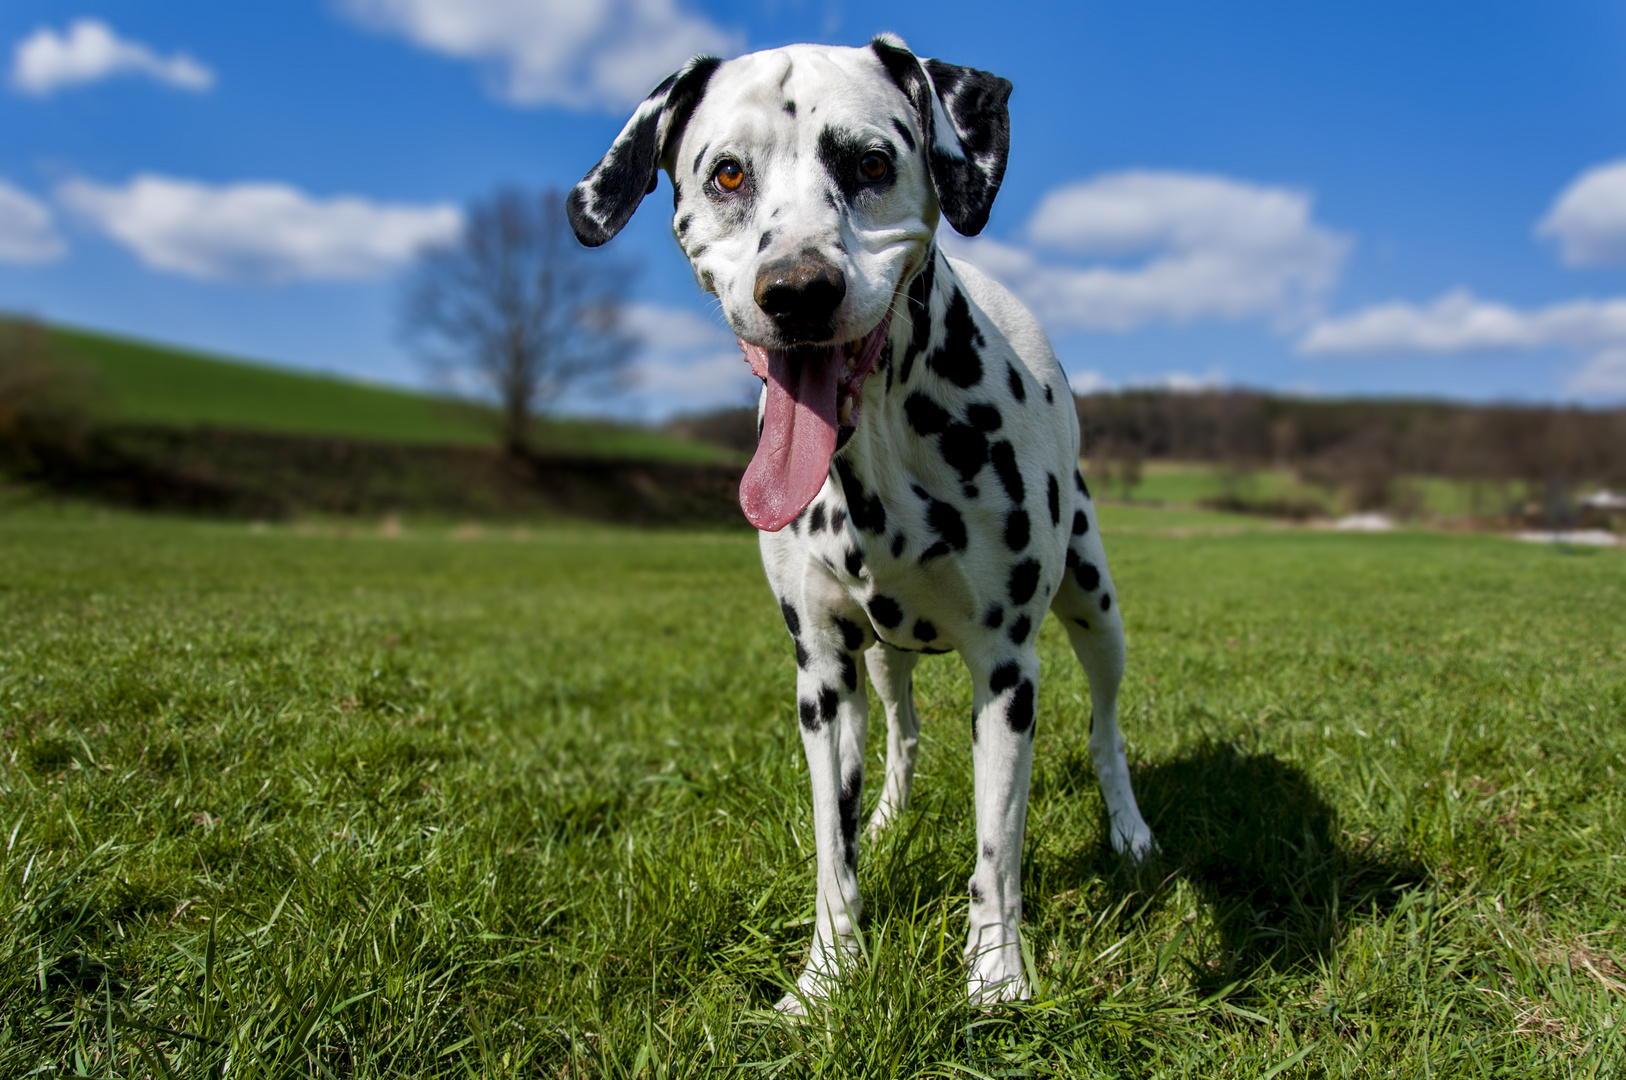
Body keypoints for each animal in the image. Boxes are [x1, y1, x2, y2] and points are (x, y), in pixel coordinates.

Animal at [572, 35, 1157, 1014]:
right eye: (728, 173)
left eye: (872, 163)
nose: (797, 290)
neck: (880, 457)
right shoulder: (822, 674)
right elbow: (830, 852)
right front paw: (823, 980)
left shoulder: (1006, 672)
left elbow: (996, 853)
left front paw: (996, 976)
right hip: (884, 663)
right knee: (904, 737)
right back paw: (888, 816)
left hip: (1094, 605)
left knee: (1106, 730)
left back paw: (1130, 828)